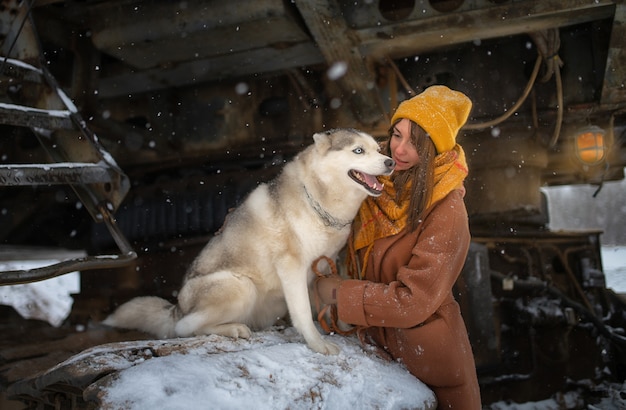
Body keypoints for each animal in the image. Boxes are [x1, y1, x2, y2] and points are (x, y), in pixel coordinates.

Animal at [104, 129, 392, 356]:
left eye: (378, 149)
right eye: (358, 150)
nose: (390, 162)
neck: (318, 202)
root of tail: (177, 306)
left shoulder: (324, 264)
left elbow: (329, 302)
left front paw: (344, 329)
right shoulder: (292, 267)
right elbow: (303, 313)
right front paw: (318, 345)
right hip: (241, 286)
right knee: (183, 328)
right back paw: (234, 328)